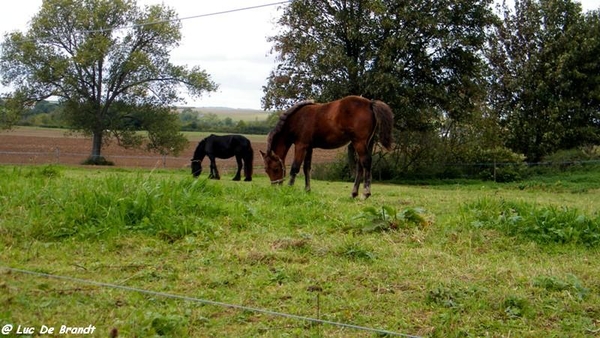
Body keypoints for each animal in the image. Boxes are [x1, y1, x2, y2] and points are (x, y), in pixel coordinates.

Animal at [258, 95, 394, 198]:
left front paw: (289, 188)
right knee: (360, 165)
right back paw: (353, 193)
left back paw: (365, 193)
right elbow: (306, 168)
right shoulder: (309, 147)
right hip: (366, 143)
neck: (296, 119)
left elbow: (295, 167)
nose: (275, 187)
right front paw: (307, 190)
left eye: (275, 169)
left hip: (359, 142)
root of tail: (370, 103)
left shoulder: (301, 145)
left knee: (366, 162)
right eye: (266, 170)